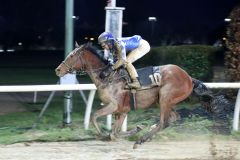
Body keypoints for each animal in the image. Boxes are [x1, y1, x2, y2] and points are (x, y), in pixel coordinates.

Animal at [55, 42, 228, 149]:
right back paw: (147, 133)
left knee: (164, 121)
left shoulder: (114, 106)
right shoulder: (122, 110)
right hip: (164, 101)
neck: (107, 76)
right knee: (173, 117)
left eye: (72, 56)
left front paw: (103, 135)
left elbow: (94, 116)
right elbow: (114, 133)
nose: (58, 70)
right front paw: (135, 129)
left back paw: (141, 139)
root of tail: (188, 77)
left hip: (165, 97)